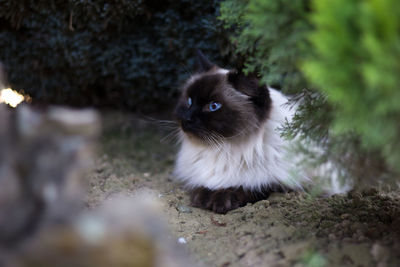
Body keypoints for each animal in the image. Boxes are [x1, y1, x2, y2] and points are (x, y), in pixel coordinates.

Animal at [173, 51, 308, 215]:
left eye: (213, 106)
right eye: (189, 102)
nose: (186, 119)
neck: (223, 148)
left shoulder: (280, 182)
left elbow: (249, 187)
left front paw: (219, 200)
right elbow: (202, 186)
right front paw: (203, 196)